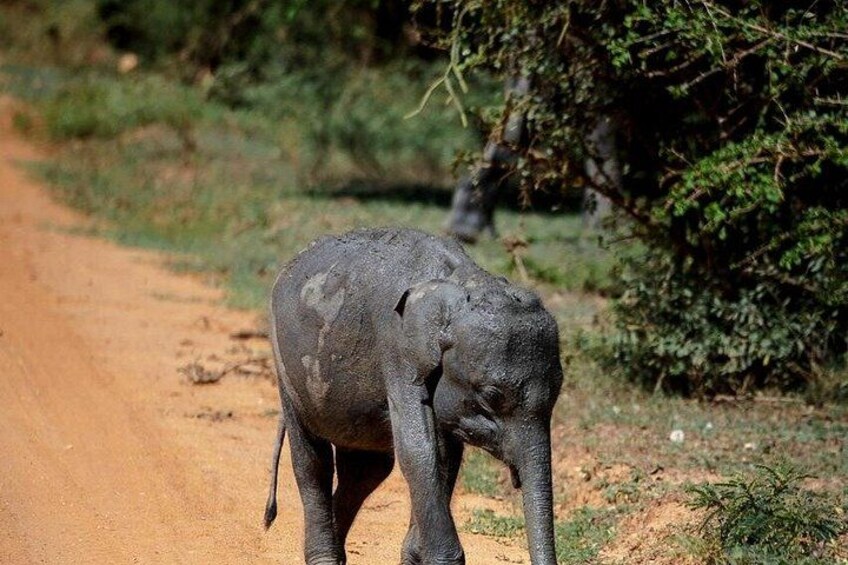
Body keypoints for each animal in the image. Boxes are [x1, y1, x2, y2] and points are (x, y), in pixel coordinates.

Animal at [264, 228, 563, 565]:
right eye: (491, 396)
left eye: (558, 390)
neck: (462, 284)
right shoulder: (397, 348)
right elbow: (418, 450)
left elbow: (444, 456)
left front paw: (414, 552)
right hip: (284, 365)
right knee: (313, 462)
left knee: (365, 471)